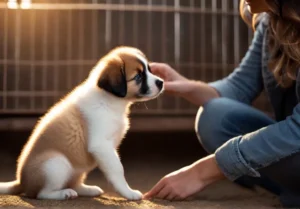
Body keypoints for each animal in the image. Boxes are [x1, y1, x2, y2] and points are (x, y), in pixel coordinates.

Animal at [0, 46, 164, 201]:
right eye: (138, 76)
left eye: (149, 70)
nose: (161, 82)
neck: (110, 100)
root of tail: (22, 182)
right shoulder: (101, 145)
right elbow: (117, 169)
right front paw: (128, 192)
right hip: (56, 163)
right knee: (42, 194)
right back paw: (64, 194)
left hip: (76, 170)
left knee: (74, 183)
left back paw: (88, 190)